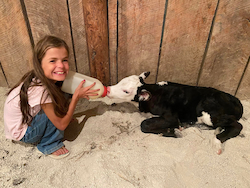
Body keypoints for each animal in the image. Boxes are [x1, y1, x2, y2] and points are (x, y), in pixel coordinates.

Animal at [106, 72, 243, 154]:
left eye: (126, 91)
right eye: (120, 81)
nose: (108, 90)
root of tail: (235, 99)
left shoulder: (171, 117)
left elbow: (144, 124)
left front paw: (175, 132)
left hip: (208, 114)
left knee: (237, 125)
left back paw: (217, 144)